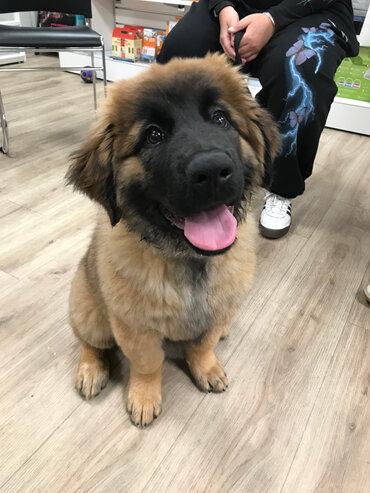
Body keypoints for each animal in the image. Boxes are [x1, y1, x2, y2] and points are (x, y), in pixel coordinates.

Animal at [67, 52, 280, 424]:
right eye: (153, 135)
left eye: (221, 119)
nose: (211, 171)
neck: (188, 258)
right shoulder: (136, 327)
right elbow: (148, 363)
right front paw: (144, 397)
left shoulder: (218, 309)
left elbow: (203, 344)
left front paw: (206, 368)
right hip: (88, 308)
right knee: (89, 341)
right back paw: (91, 370)